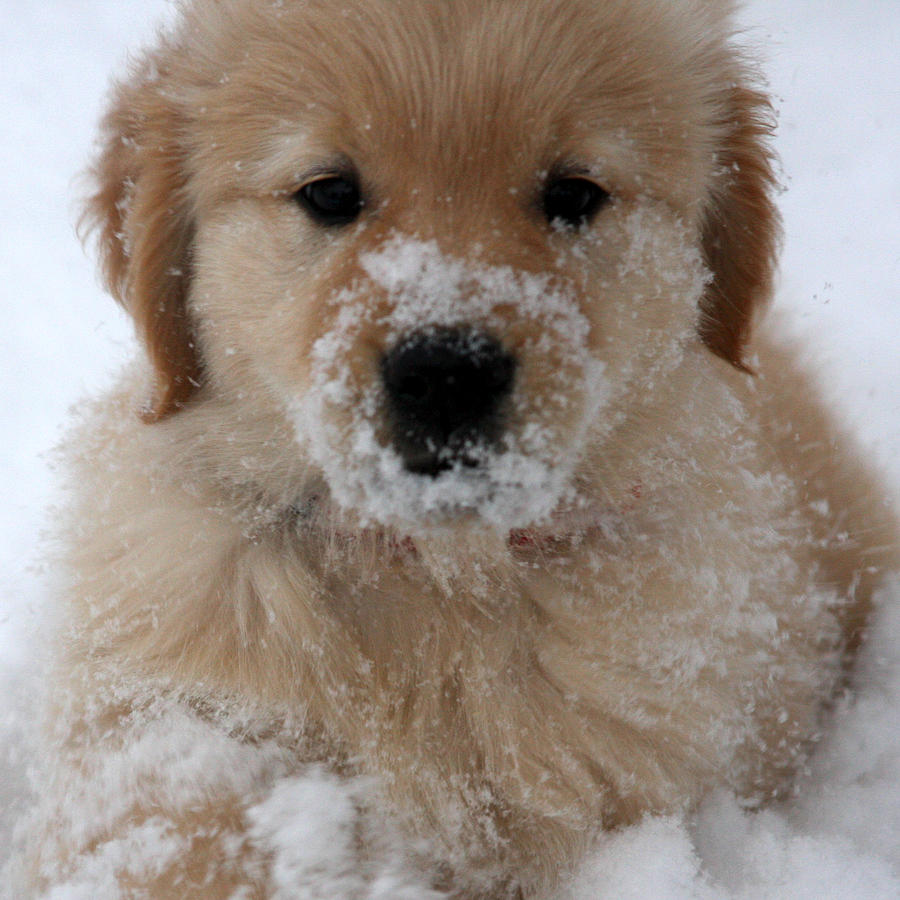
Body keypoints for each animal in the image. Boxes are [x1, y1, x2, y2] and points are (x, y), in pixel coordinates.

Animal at [17, 0, 896, 896]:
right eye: (329, 193)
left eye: (573, 193)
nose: (446, 373)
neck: (433, 578)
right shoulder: (161, 697)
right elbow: (183, 815)